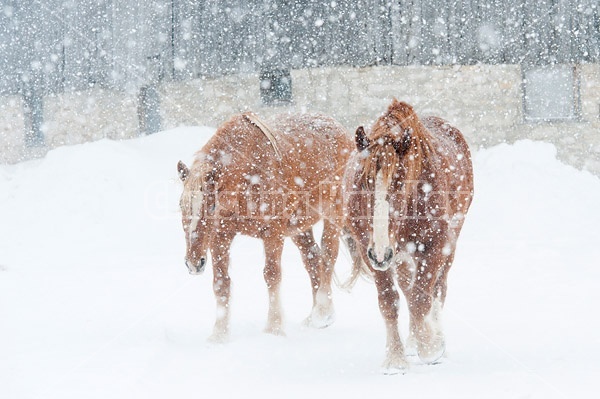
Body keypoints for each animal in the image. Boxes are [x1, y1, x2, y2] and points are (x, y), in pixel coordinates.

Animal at [176, 111, 354, 340]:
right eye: (181, 205)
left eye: (212, 204)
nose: (194, 263)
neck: (248, 171)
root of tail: (341, 130)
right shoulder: (221, 235)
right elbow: (221, 282)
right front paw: (219, 335)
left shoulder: (273, 233)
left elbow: (271, 275)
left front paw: (274, 329)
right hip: (299, 227)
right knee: (313, 259)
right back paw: (314, 318)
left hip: (334, 213)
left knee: (328, 255)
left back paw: (323, 313)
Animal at [342, 100, 474, 376]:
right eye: (364, 182)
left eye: (399, 184)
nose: (381, 252)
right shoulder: (372, 251)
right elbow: (390, 301)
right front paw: (395, 359)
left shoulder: (434, 247)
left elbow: (422, 297)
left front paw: (431, 347)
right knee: (408, 288)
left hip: (449, 244)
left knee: (437, 289)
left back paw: (435, 338)